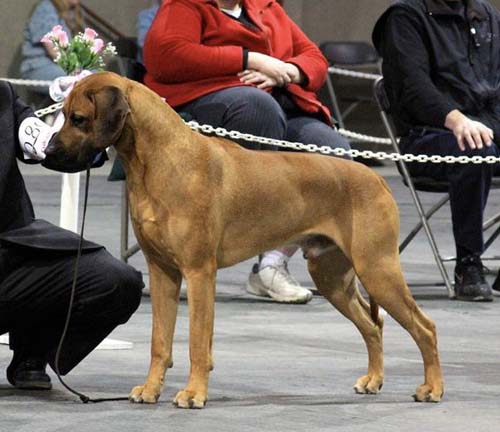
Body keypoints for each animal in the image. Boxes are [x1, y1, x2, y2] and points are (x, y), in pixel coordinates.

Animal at [46, 71, 446, 408]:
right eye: (62, 114)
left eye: (77, 118)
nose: (48, 152)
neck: (159, 160)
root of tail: (376, 178)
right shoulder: (162, 273)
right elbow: (160, 341)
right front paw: (151, 389)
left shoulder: (198, 272)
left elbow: (197, 342)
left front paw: (193, 393)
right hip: (333, 278)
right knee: (373, 325)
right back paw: (374, 379)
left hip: (378, 268)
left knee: (425, 327)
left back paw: (433, 387)